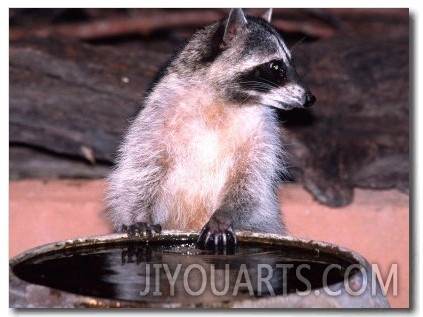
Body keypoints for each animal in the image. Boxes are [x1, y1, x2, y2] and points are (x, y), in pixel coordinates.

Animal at [105, 8, 316, 248]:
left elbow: (251, 179)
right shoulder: (158, 112)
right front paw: (139, 215)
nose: (310, 98)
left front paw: (224, 214)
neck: (227, 100)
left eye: (288, 63)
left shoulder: (263, 129)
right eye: (275, 66)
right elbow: (141, 168)